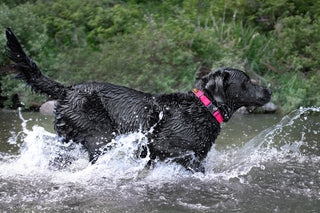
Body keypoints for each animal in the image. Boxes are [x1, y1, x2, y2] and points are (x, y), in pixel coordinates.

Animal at [5, 28, 270, 172]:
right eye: (247, 81)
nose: (269, 92)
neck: (204, 108)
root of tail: (67, 89)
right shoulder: (164, 148)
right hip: (100, 138)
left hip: (67, 142)